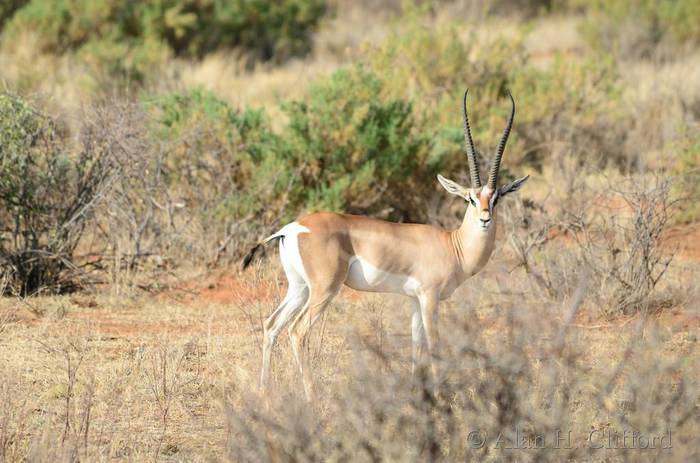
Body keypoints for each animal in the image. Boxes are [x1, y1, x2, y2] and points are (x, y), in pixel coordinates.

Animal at [243, 89, 529, 399]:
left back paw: (264, 393)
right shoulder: (430, 297)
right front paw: (441, 396)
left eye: (497, 197)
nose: (485, 219)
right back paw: (312, 396)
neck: (452, 245)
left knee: (271, 325)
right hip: (323, 289)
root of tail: (292, 228)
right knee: (297, 331)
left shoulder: (414, 300)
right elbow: (434, 345)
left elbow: (416, 345)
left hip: (299, 288)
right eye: (471, 199)